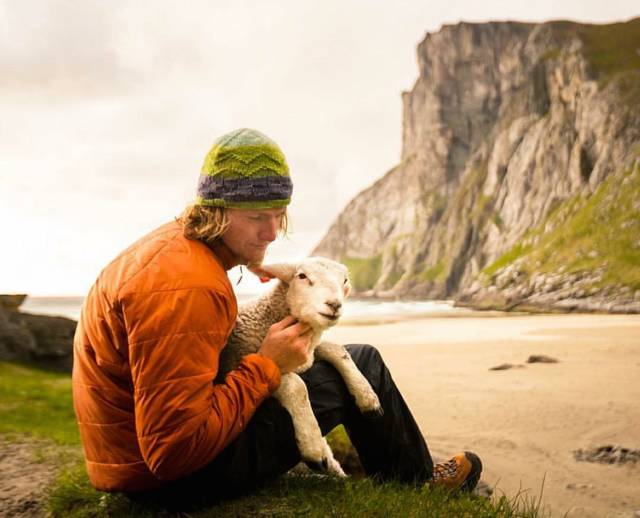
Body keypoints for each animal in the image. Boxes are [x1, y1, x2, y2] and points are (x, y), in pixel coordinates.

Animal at [218, 256, 382, 480]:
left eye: (345, 280)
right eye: (302, 276)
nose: (334, 304)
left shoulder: (307, 356)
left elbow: (337, 349)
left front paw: (367, 397)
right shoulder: (238, 363)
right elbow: (297, 385)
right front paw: (314, 448)